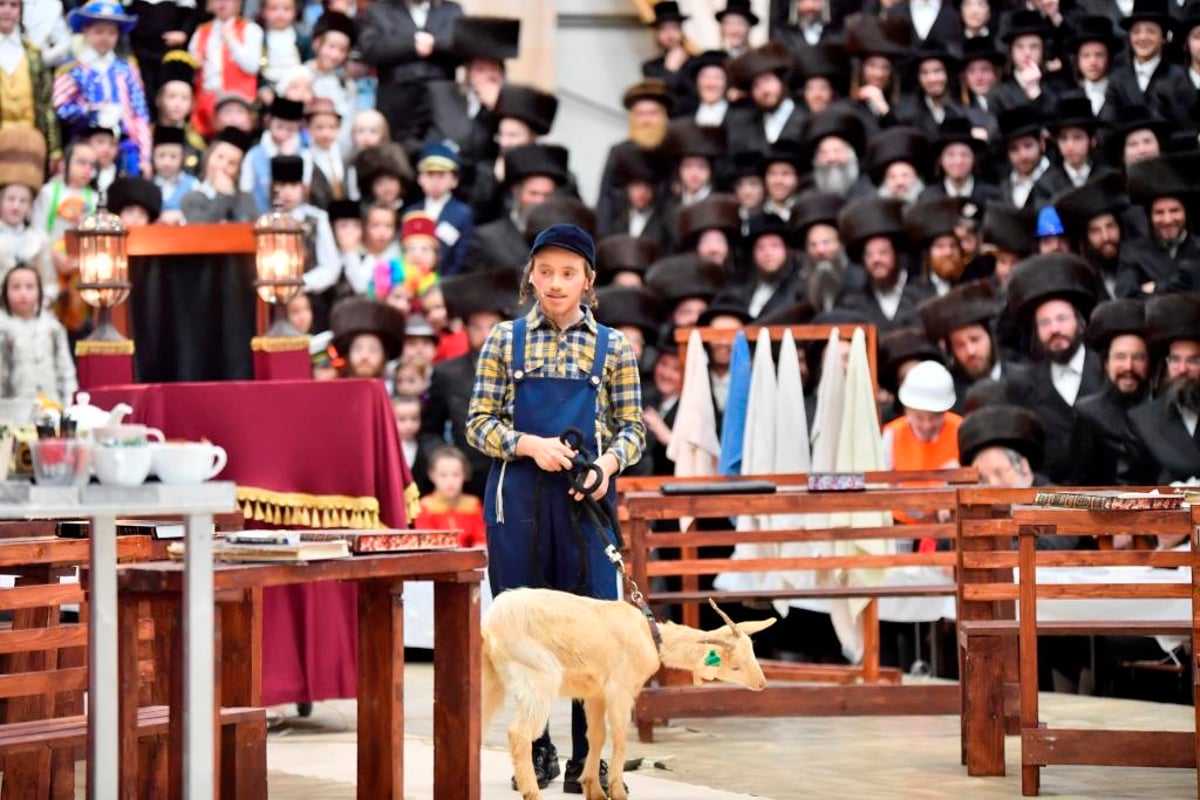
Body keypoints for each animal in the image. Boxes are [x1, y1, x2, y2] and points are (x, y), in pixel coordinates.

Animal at [480, 587, 777, 800]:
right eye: (735, 666)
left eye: (752, 651)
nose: (762, 684)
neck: (650, 635)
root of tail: (491, 624)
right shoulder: (620, 690)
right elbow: (620, 738)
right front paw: (617, 791)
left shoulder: (596, 693)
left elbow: (596, 737)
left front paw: (593, 789)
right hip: (537, 676)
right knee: (518, 733)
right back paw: (531, 792)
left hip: (491, 680)